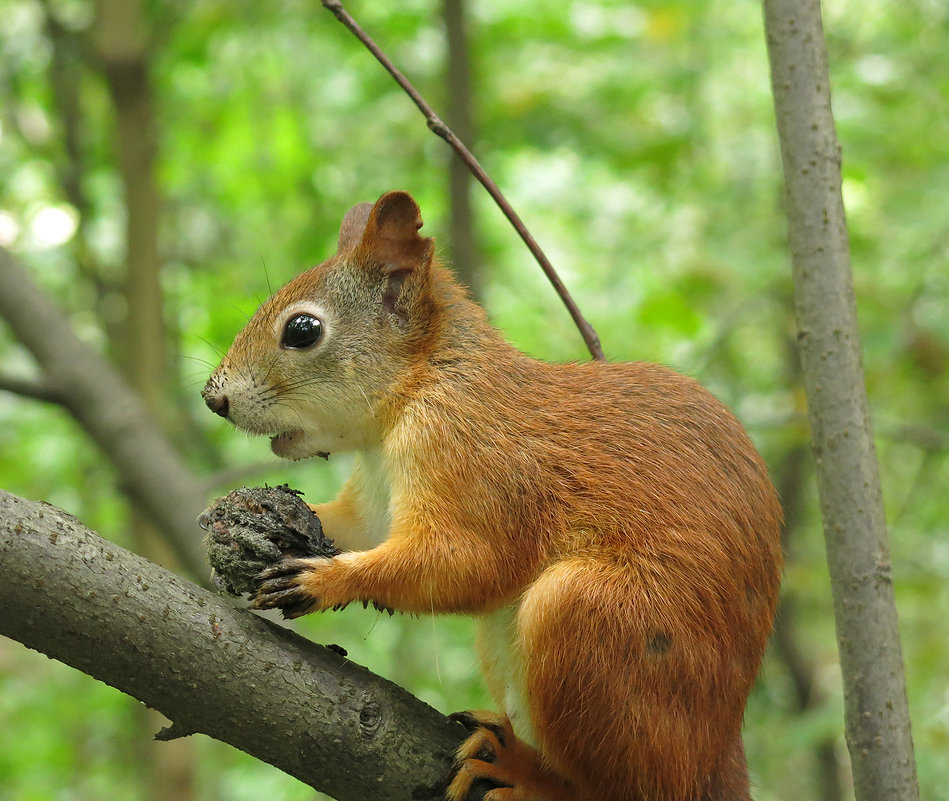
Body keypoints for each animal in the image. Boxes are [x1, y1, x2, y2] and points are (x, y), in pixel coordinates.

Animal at [200, 189, 776, 800]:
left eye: (303, 330)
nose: (214, 399)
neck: (418, 387)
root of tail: (715, 759)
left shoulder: (471, 457)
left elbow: (472, 561)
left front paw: (326, 580)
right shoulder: (376, 495)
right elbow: (361, 528)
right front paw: (240, 515)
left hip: (597, 623)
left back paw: (527, 776)